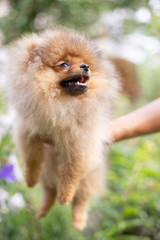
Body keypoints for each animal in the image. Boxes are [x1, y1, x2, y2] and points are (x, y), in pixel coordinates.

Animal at [8, 27, 119, 231]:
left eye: (85, 63)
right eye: (64, 64)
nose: (86, 66)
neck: (62, 104)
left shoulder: (81, 143)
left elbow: (70, 173)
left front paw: (65, 195)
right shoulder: (29, 131)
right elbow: (31, 159)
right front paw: (30, 179)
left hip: (90, 175)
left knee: (82, 198)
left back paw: (78, 222)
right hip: (48, 171)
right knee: (49, 190)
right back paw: (42, 210)